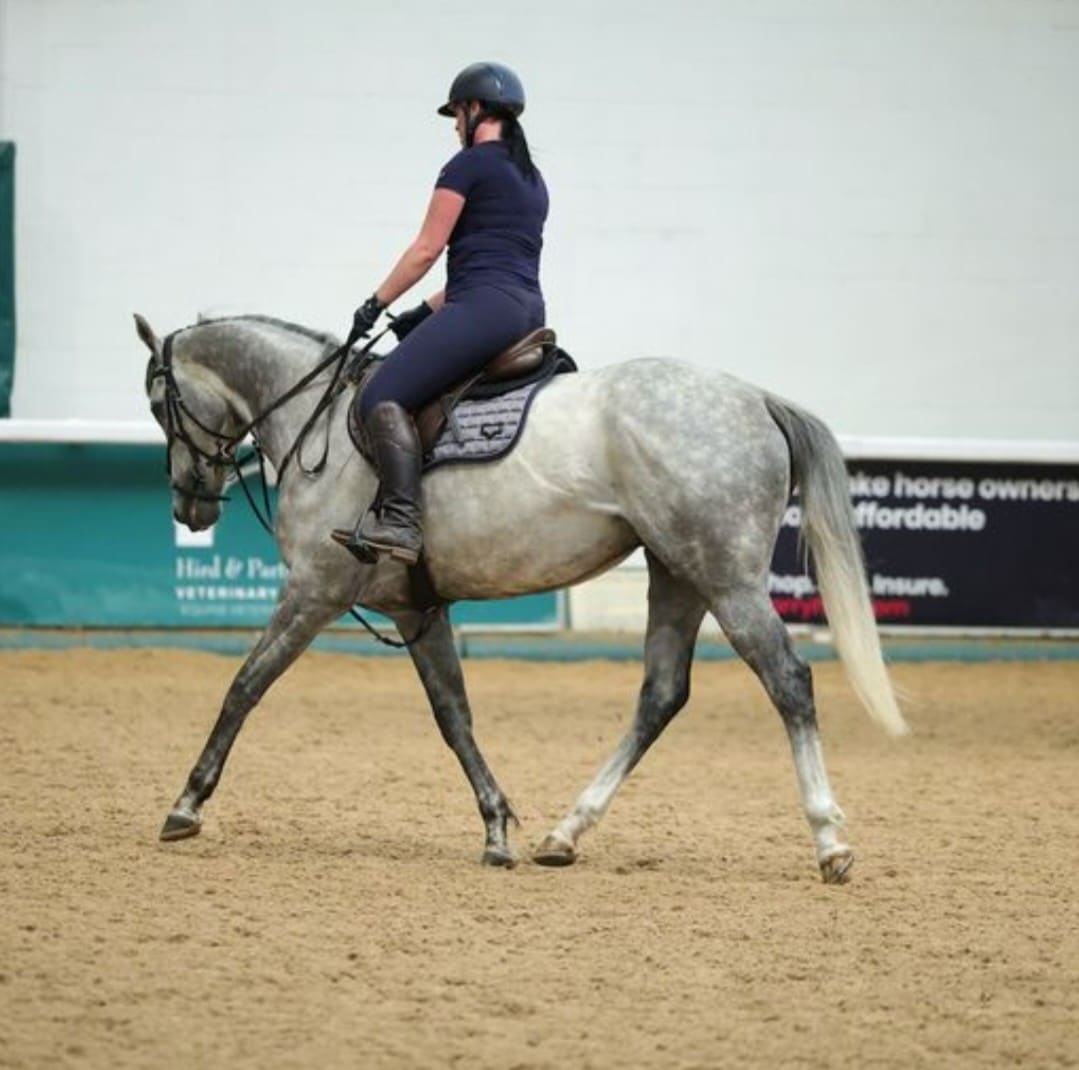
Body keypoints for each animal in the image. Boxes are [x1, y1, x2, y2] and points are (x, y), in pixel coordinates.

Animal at [135, 312, 908, 883]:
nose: (188, 505)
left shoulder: (314, 590)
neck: (317, 421)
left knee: (787, 680)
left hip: (726, 578)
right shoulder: (417, 612)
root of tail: (755, 396)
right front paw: (496, 826)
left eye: (158, 405)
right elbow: (455, 719)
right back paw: (565, 833)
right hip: (678, 575)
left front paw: (186, 804)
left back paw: (829, 840)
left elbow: (245, 686)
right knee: (661, 694)